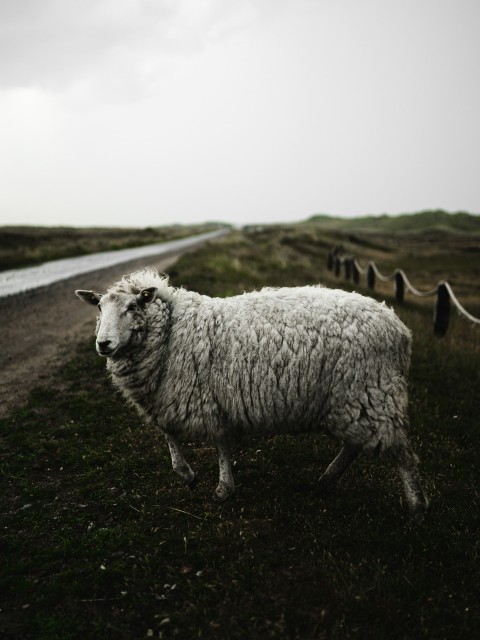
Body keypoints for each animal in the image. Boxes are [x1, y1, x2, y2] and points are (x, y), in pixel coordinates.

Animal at [75, 267, 428, 522]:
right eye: (99, 307)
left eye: (133, 306)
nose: (103, 344)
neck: (171, 333)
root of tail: (399, 328)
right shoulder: (173, 396)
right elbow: (169, 434)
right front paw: (188, 475)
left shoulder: (202, 397)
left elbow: (218, 443)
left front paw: (221, 488)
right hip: (356, 399)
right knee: (356, 444)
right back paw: (326, 480)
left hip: (371, 392)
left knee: (403, 455)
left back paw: (416, 508)